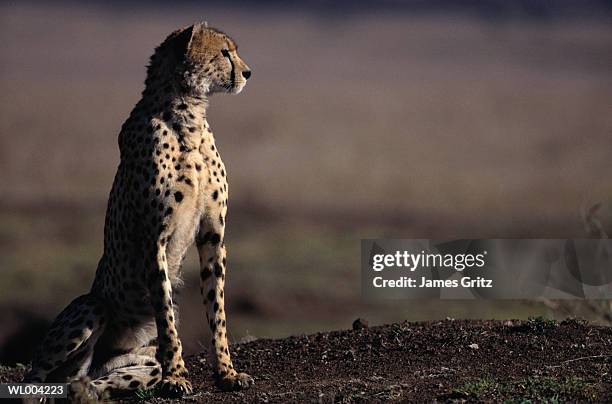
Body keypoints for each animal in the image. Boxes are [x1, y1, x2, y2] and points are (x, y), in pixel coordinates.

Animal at [23, 22, 253, 400]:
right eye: (224, 52)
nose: (248, 73)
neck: (188, 116)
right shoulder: (153, 238)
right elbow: (165, 314)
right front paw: (177, 377)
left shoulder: (212, 235)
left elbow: (216, 309)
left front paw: (227, 373)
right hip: (92, 305)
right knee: (36, 375)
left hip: (131, 366)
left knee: (87, 381)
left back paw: (84, 391)